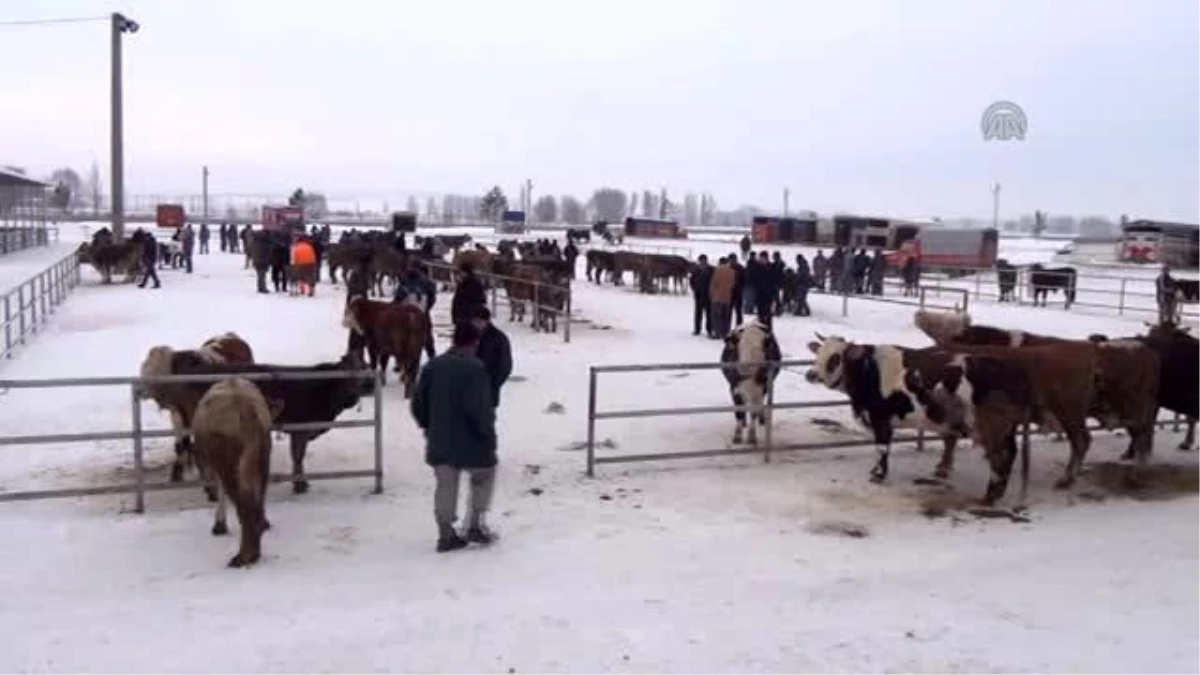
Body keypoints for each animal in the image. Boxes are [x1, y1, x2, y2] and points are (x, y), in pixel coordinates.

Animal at [137, 331, 256, 494]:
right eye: (144, 370)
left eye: (153, 372)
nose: (139, 391)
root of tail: (229, 335)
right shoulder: (177, 414)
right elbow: (180, 444)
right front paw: (177, 474)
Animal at [192, 374, 285, 564]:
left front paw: (219, 524)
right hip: (262, 454)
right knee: (257, 496)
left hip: (229, 461)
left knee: (244, 504)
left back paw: (244, 556)